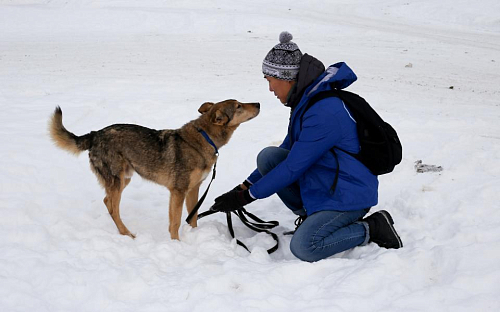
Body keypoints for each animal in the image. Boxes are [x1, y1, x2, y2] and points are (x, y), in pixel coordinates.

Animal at [48, 100, 260, 239]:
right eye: (239, 106)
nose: (258, 103)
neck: (205, 138)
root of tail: (94, 134)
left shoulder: (193, 189)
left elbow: (193, 217)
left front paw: (194, 236)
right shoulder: (178, 191)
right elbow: (175, 222)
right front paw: (176, 244)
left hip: (125, 179)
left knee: (107, 202)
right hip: (118, 181)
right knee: (113, 208)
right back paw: (127, 234)